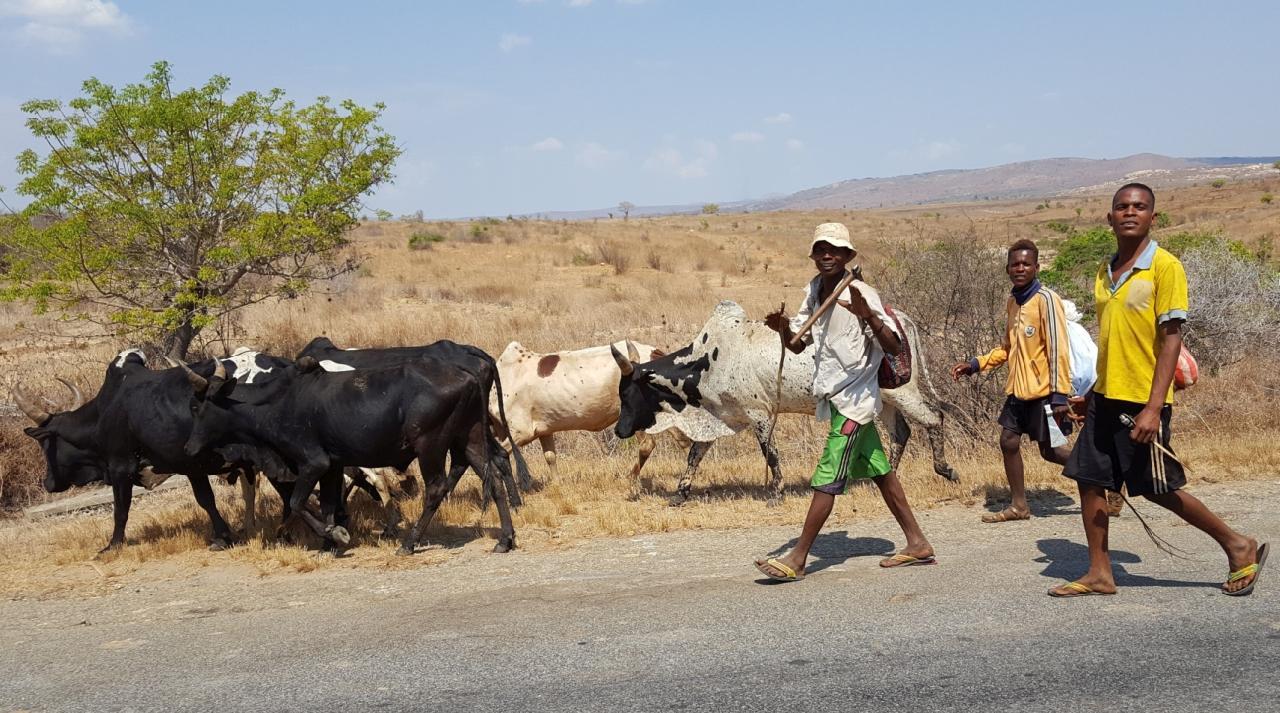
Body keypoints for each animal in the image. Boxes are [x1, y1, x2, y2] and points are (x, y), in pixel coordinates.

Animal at [12, 348, 293, 552]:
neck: (106, 411)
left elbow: (122, 509)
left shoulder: (123, 467)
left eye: (45, 443)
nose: (47, 483)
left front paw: (112, 546)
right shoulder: (192, 467)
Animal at [180, 353, 519, 552]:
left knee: (436, 489)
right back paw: (505, 539)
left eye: (199, 407)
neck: (275, 402)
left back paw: (409, 543)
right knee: (494, 477)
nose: (189, 448)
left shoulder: (313, 463)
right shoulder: (332, 465)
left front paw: (335, 535)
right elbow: (328, 503)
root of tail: (469, 373)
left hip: (431, 447)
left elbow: (298, 502)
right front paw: (330, 540)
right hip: (469, 440)